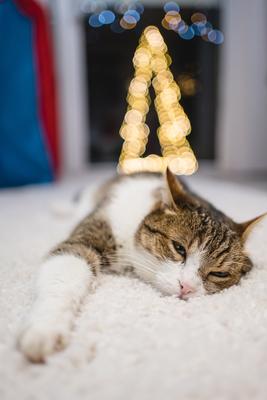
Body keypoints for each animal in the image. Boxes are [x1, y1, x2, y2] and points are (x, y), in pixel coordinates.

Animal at [17, 169, 266, 362]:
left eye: (219, 273)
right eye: (179, 248)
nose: (186, 287)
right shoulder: (82, 241)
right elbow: (62, 280)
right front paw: (44, 329)